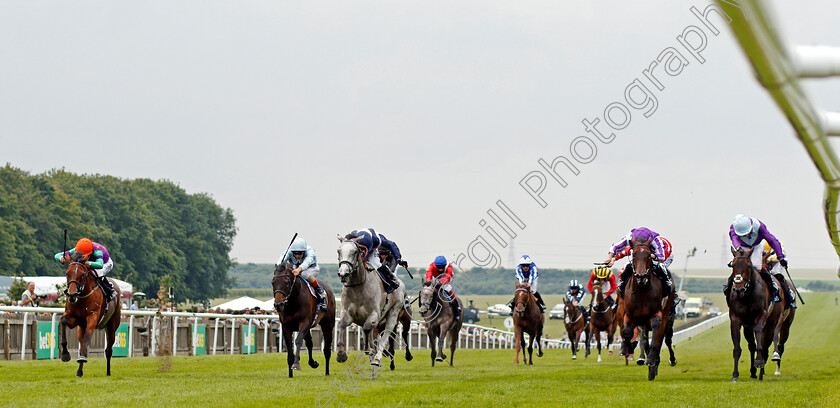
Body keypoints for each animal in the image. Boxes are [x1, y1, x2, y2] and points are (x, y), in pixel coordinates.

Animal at [334, 234, 406, 372]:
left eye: (355, 252)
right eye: (339, 251)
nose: (343, 274)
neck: (358, 287)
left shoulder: (374, 315)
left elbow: (368, 328)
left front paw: (369, 349)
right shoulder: (346, 313)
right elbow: (341, 325)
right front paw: (341, 354)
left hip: (393, 312)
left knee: (385, 335)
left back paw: (376, 358)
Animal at [624, 237, 676, 380]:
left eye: (648, 256)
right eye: (634, 255)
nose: (641, 276)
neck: (642, 291)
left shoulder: (657, 315)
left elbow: (656, 339)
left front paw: (652, 360)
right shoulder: (631, 316)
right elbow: (628, 333)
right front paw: (628, 348)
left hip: (667, 316)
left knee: (665, 339)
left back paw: (667, 361)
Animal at [728, 245, 796, 382]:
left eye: (749, 266)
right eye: (733, 265)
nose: (739, 289)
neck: (746, 296)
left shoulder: (762, 317)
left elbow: (762, 339)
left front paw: (759, 361)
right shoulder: (736, 319)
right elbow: (737, 349)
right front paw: (735, 375)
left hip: (782, 325)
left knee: (776, 344)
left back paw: (771, 368)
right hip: (749, 326)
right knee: (753, 345)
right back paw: (755, 372)